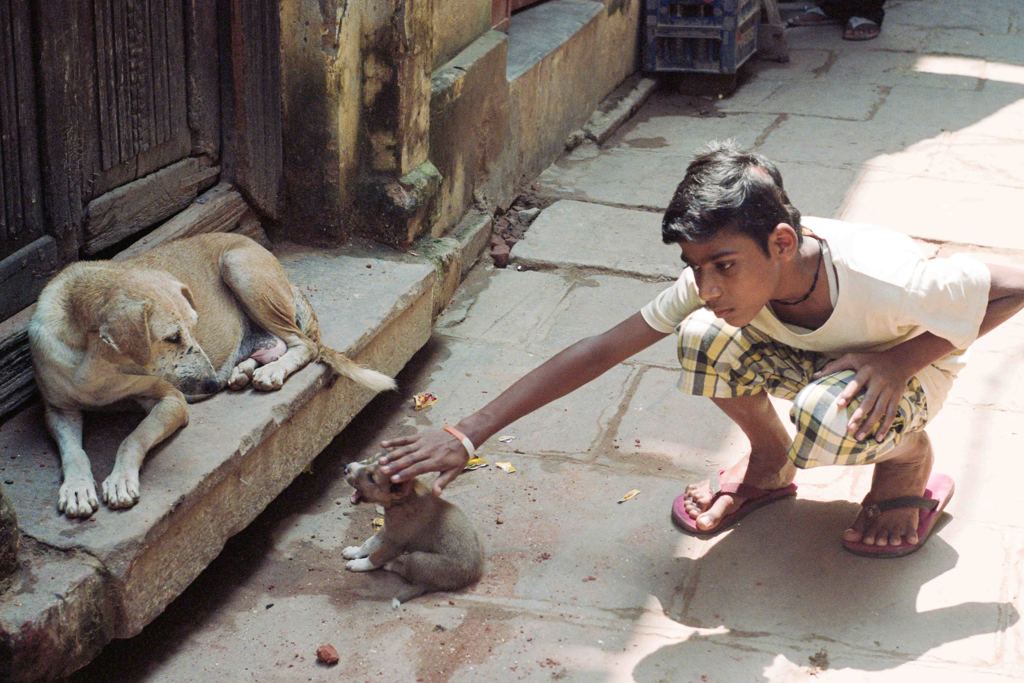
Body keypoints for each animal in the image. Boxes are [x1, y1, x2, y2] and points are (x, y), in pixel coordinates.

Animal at [344, 454, 483, 602]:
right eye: (368, 459)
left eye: (371, 478)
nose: (345, 468)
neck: (403, 501)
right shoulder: (387, 531)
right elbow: (369, 543)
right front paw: (354, 551)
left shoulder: (395, 543)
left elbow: (376, 556)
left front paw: (359, 564)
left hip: (418, 558)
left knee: (407, 571)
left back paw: (391, 564)